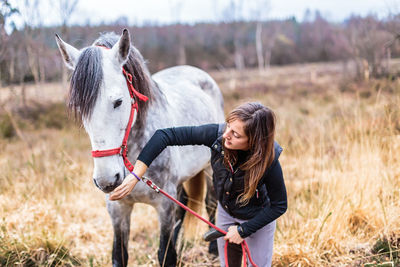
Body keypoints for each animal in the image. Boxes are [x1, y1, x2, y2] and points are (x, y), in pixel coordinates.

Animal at [55, 28, 227, 266]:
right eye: (80, 107)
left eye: (118, 101)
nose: (107, 181)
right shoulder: (118, 209)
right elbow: (120, 256)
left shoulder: (163, 206)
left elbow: (166, 255)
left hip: (209, 168)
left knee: (210, 203)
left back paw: (212, 249)